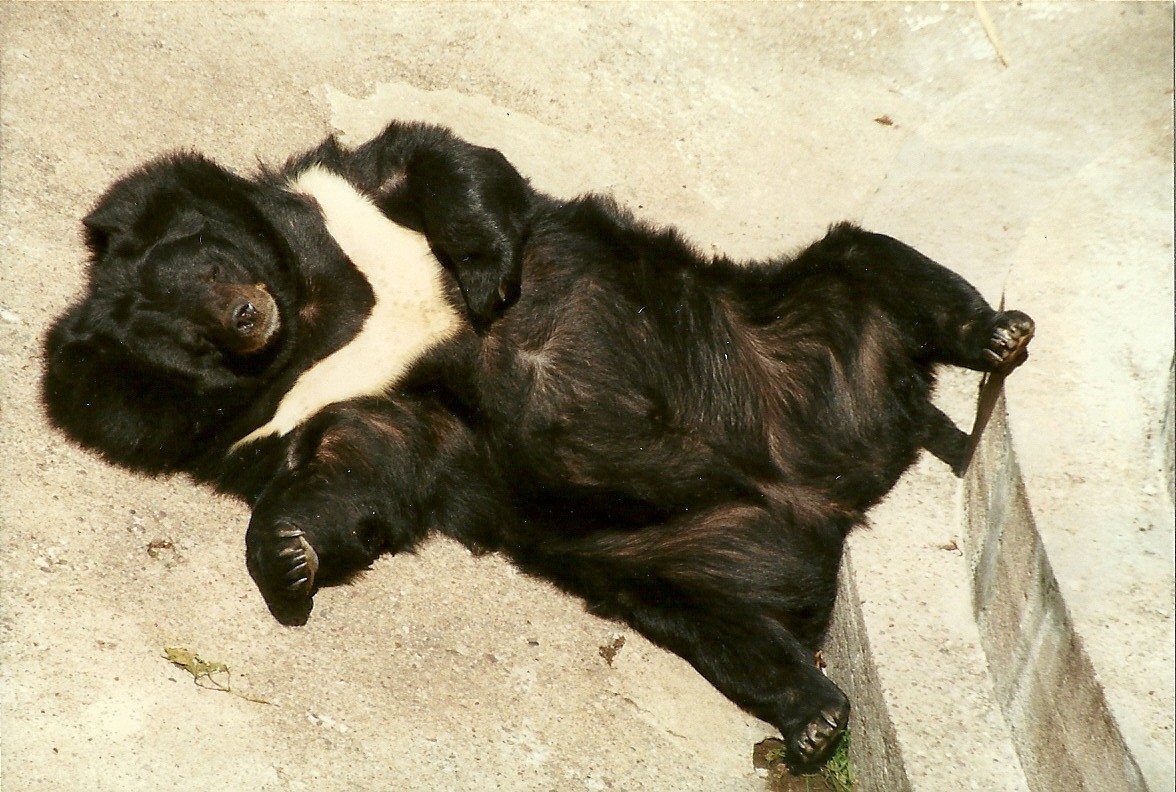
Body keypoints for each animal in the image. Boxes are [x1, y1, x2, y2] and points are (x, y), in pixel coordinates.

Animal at [42, 119, 1034, 770]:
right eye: (185, 338)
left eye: (210, 266)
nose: (248, 318)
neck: (322, 316)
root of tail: (832, 492)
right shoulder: (355, 405)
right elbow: (359, 467)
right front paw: (287, 558)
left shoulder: (347, 196)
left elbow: (445, 165)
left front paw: (487, 278)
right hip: (665, 557)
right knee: (722, 625)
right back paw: (815, 715)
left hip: (800, 339)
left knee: (868, 265)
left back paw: (998, 334)